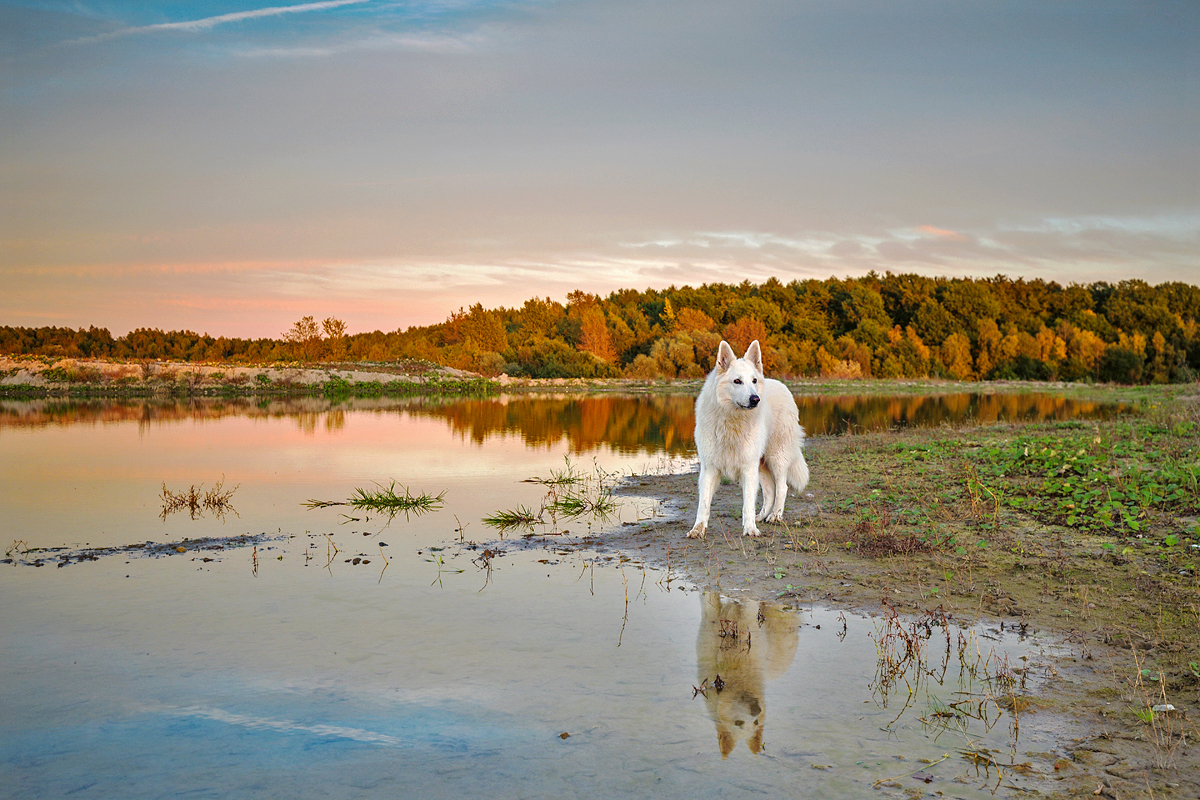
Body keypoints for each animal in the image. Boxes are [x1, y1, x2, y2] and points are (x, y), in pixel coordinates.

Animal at [686, 340, 806, 542]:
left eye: (754, 381)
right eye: (737, 381)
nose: (755, 399)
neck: (732, 421)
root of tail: (782, 385)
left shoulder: (748, 468)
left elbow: (748, 503)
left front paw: (750, 529)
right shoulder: (709, 468)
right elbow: (703, 504)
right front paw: (698, 529)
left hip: (776, 457)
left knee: (782, 487)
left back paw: (775, 516)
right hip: (762, 464)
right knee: (770, 491)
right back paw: (762, 516)